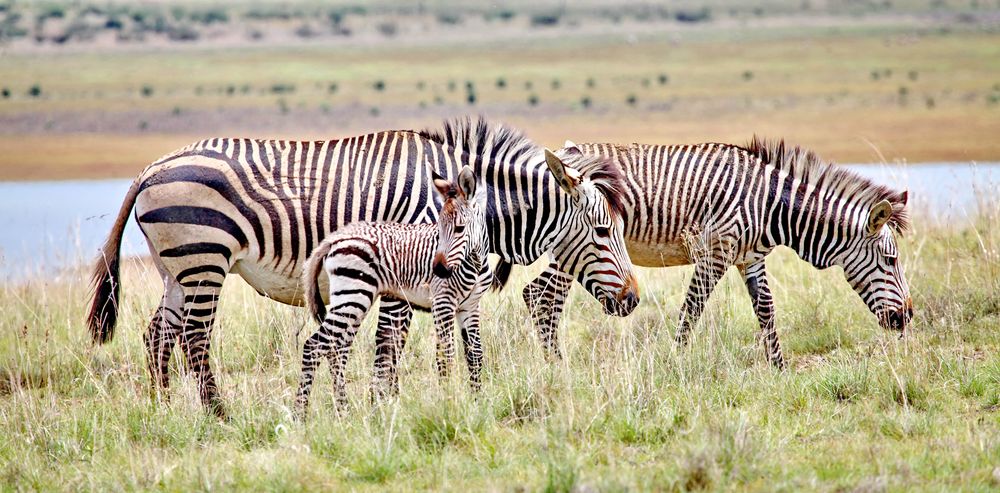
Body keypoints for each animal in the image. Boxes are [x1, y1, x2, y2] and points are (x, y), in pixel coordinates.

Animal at [296, 164, 492, 412]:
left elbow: (475, 355)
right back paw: (299, 413)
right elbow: (445, 355)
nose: (438, 270)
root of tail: (334, 239)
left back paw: (343, 410)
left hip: (352, 300)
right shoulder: (443, 302)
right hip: (354, 296)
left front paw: (477, 402)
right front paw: (448, 401)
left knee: (335, 349)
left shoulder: (470, 306)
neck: (474, 262)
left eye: (459, 228)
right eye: (438, 228)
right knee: (314, 346)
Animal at [496, 136, 912, 368]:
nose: (907, 316)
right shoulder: (716, 251)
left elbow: (766, 311)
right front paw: (675, 362)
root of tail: (555, 155)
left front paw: (779, 368)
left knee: (540, 295)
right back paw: (556, 367)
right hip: (577, 249)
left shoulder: (750, 258)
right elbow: (691, 310)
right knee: (540, 295)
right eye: (891, 261)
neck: (771, 205)